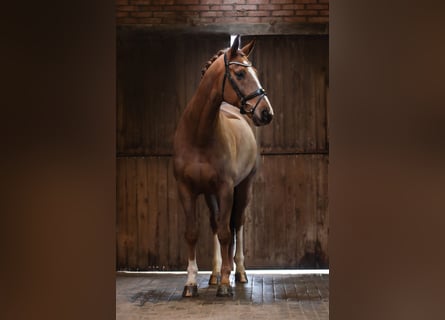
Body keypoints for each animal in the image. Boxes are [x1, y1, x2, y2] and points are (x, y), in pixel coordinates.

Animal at [172, 35, 272, 298]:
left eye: (255, 72)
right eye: (240, 73)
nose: (266, 112)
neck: (199, 136)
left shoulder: (226, 189)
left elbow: (228, 232)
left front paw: (226, 284)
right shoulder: (186, 190)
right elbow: (193, 233)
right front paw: (191, 283)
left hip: (244, 188)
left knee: (237, 224)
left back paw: (238, 273)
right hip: (210, 194)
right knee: (216, 224)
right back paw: (216, 273)